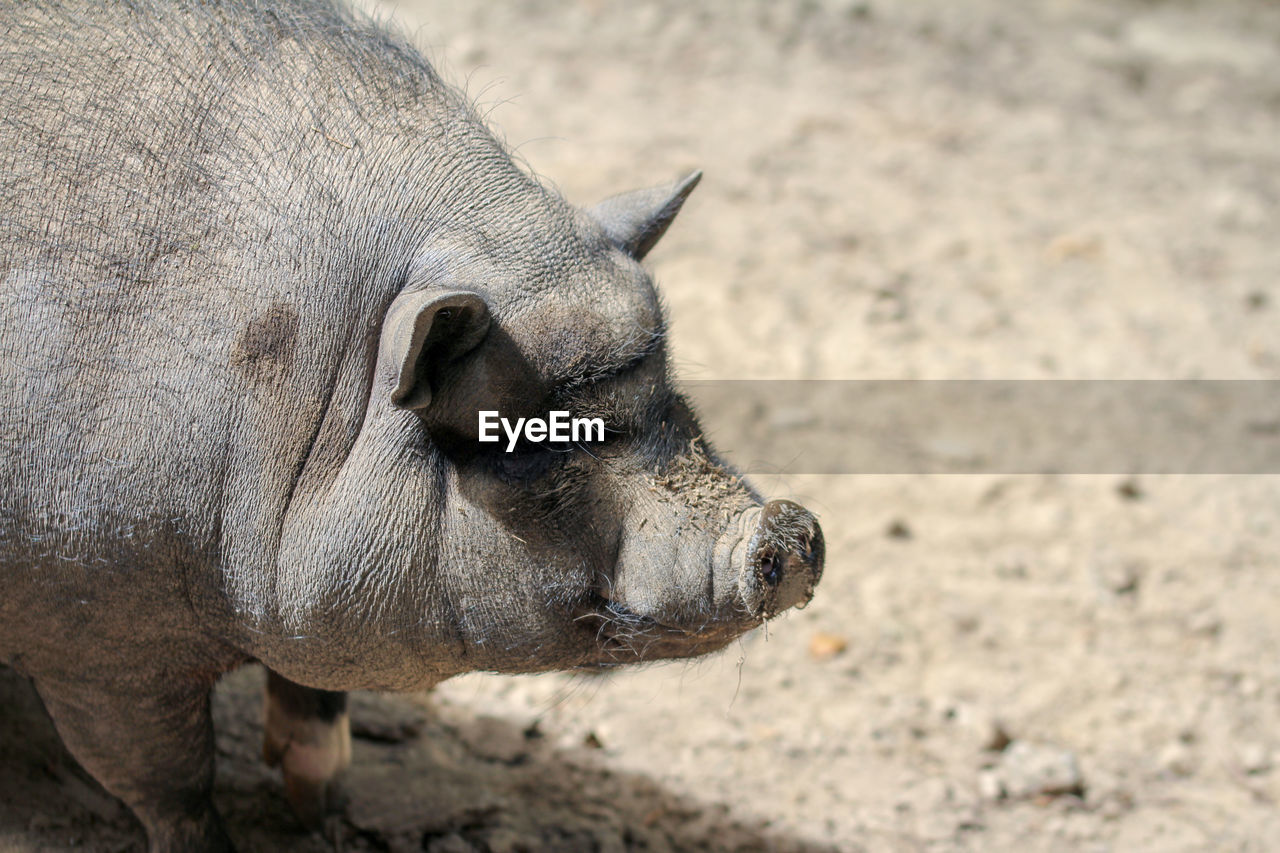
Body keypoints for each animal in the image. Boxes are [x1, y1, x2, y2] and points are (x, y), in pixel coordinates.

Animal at [0, 1, 819, 850]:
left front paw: (324, 807)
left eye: (668, 391)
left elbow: (313, 690)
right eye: (520, 441)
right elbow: (169, 783)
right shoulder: (92, 631)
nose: (791, 530)